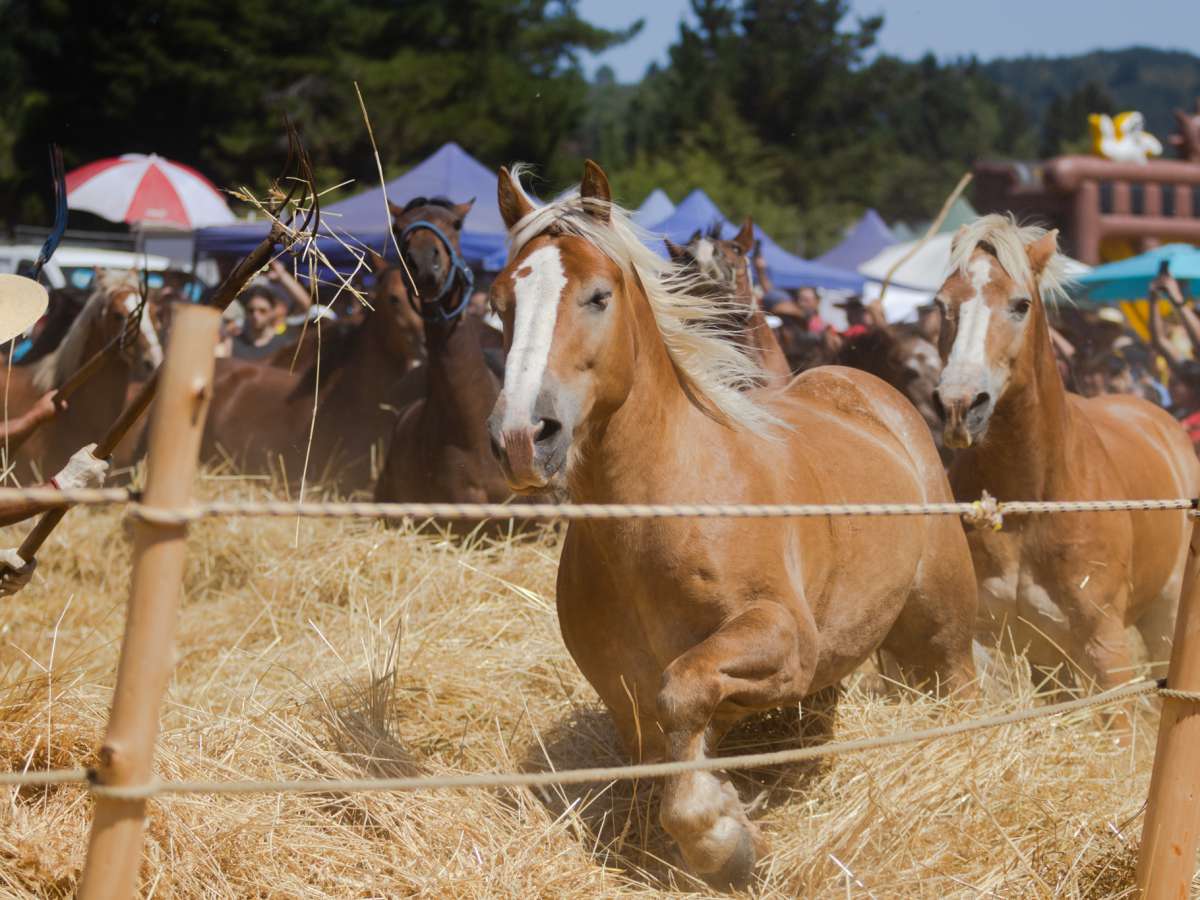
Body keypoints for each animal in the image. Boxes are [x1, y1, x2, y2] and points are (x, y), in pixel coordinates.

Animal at [484, 160, 974, 888]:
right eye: (500, 302)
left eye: (598, 296)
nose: (522, 436)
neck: (660, 516)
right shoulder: (624, 695)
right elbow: (667, 743)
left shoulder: (781, 638)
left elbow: (684, 692)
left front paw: (726, 839)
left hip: (941, 626)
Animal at [936, 214, 1200, 700]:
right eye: (942, 303)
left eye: (1020, 304)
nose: (960, 405)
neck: (1032, 500)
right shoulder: (990, 641)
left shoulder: (1105, 646)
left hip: (1166, 618)